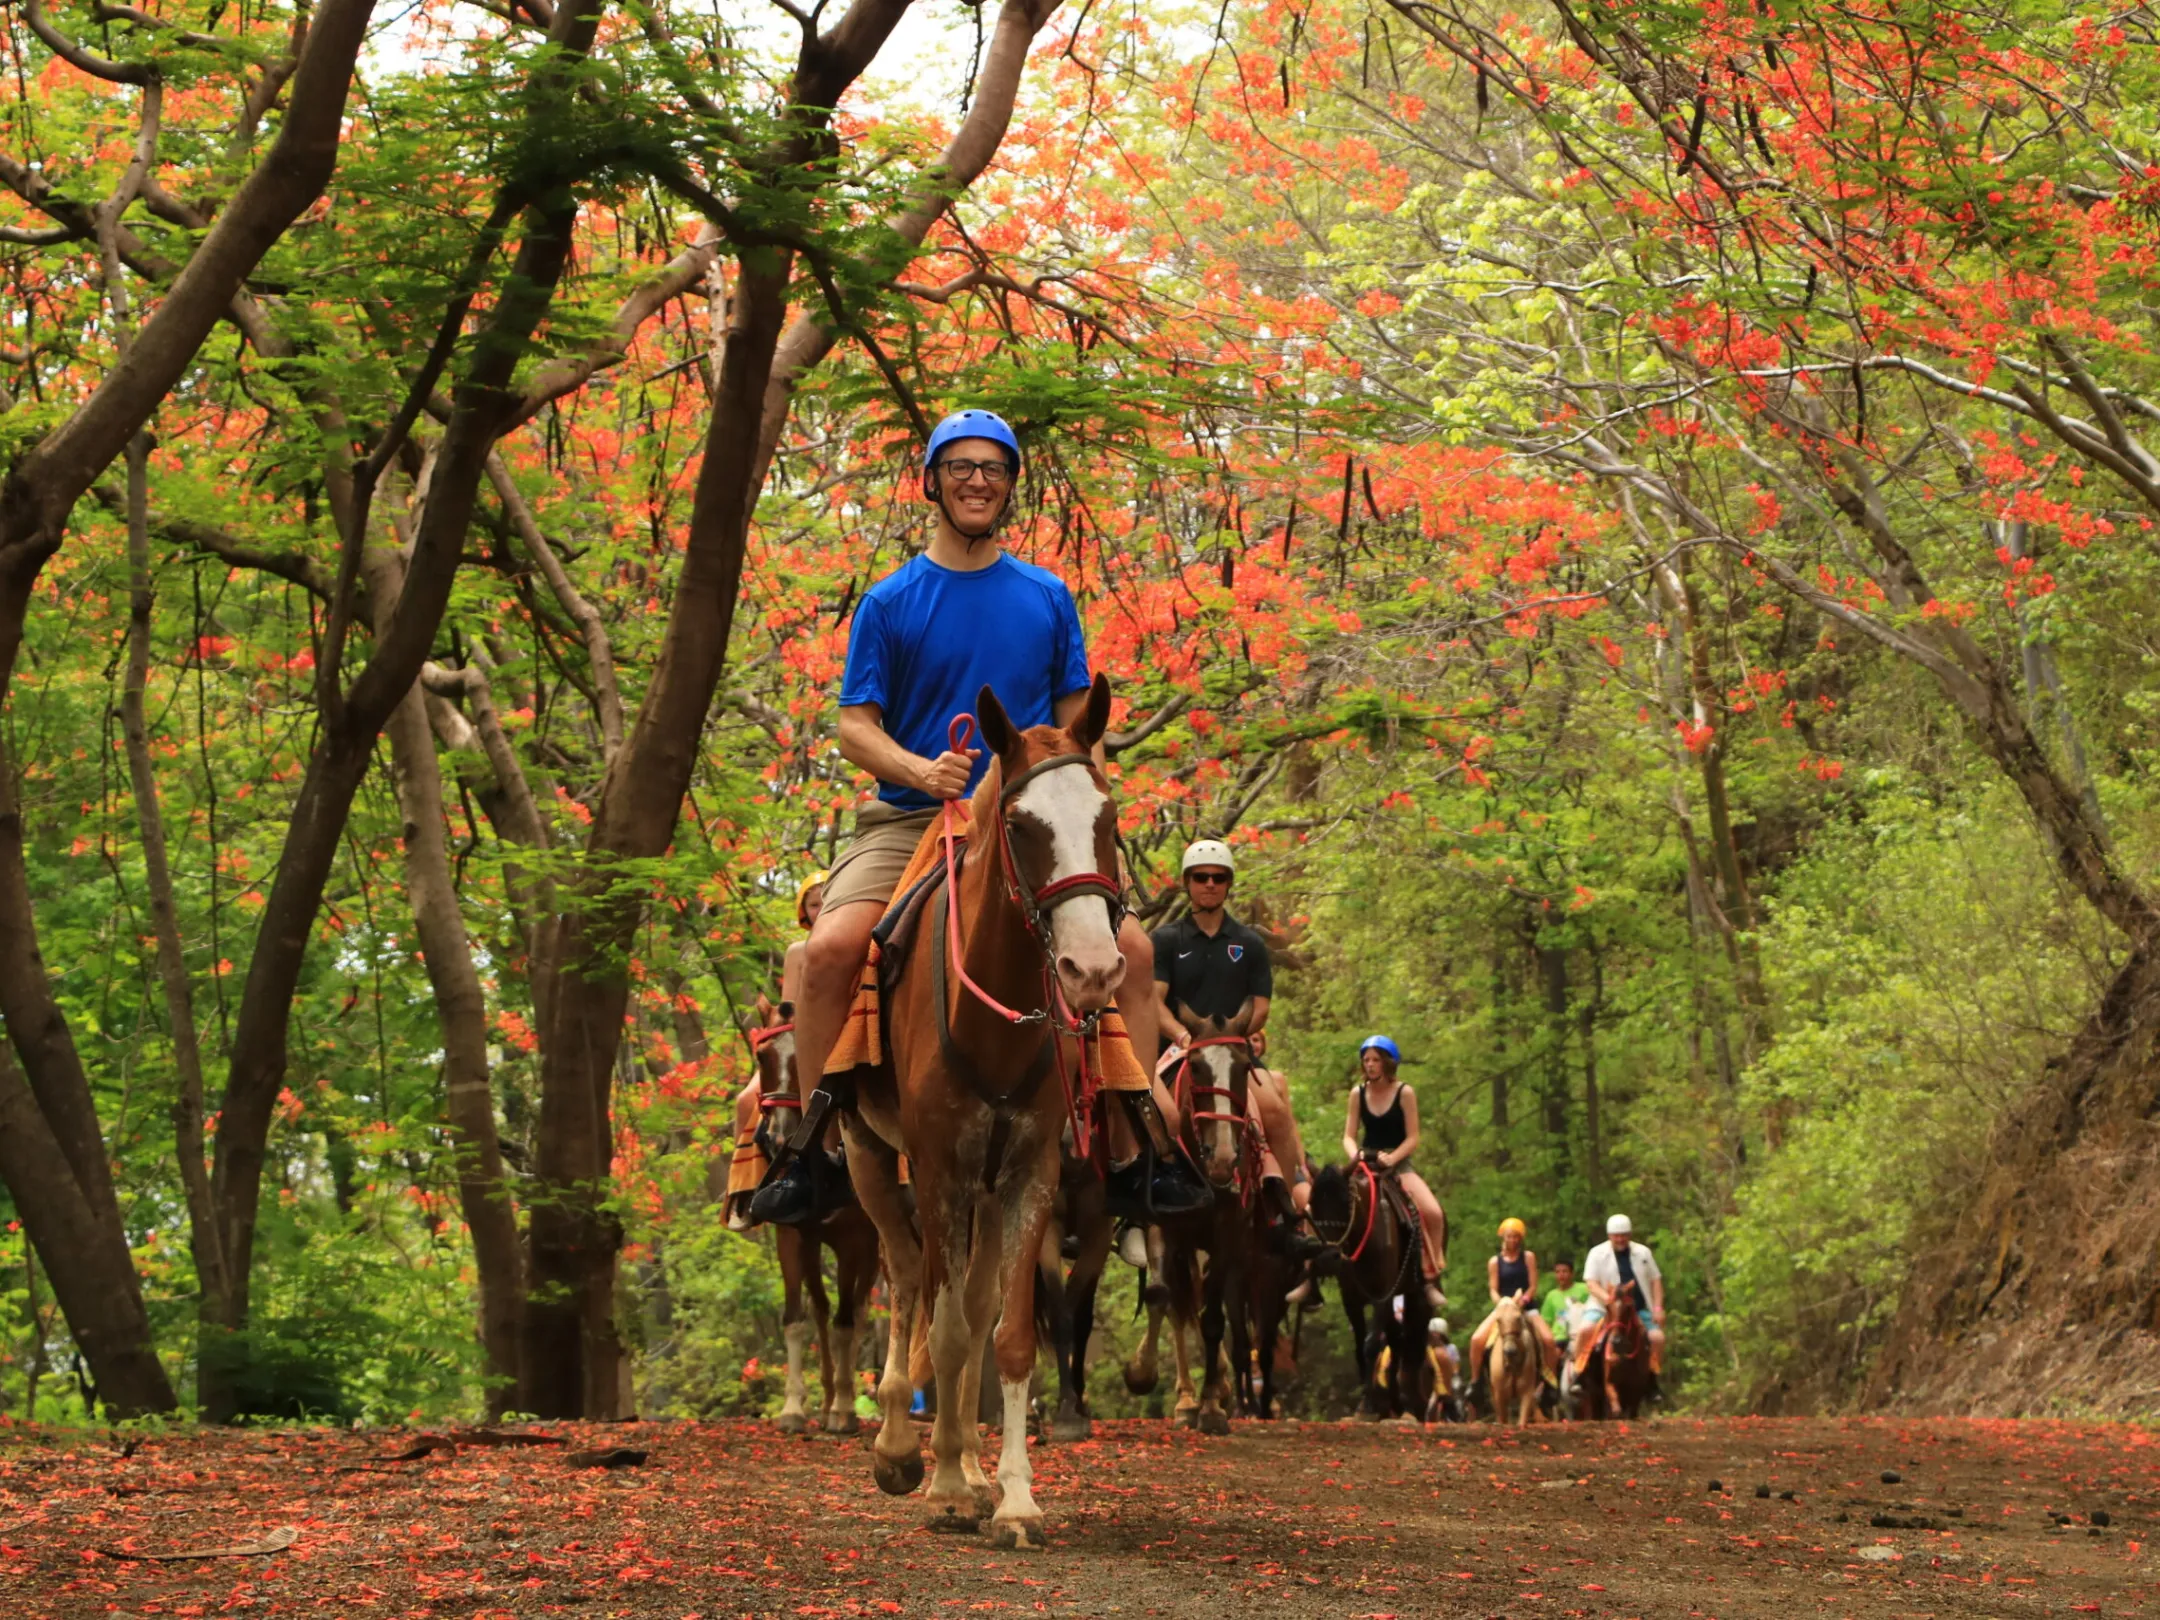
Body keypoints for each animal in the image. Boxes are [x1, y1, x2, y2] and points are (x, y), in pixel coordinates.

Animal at [745, 997, 882, 1436]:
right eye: (762, 1055)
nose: (779, 1137)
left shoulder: (855, 1241)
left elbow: (844, 1323)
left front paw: (844, 1411)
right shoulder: (793, 1236)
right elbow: (796, 1319)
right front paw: (793, 1408)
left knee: (858, 1312)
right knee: (822, 1308)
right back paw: (825, 1400)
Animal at [839, 676, 1127, 1549]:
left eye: (1107, 819)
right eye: (1024, 825)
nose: (1091, 969)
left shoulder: (1030, 1170)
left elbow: (1005, 1335)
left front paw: (1012, 1498)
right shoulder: (938, 1169)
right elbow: (943, 1328)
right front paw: (935, 1485)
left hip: (989, 1190)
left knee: (970, 1305)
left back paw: (965, 1465)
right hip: (870, 1158)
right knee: (907, 1280)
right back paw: (903, 1450)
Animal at [1307, 1160, 1439, 1421]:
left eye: (1345, 1202)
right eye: (1313, 1201)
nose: (1327, 1258)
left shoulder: (1382, 1296)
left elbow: (1371, 1346)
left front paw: (1369, 1405)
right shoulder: (1352, 1300)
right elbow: (1360, 1347)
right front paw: (1366, 1405)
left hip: (1416, 1294)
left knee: (1413, 1343)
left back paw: (1411, 1407)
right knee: (1398, 1338)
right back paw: (1397, 1404)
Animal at [1484, 1295, 1540, 1426]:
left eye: (1518, 1318)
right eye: (1498, 1320)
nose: (1510, 1350)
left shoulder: (1527, 1392)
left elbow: (1522, 1421)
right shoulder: (1500, 1394)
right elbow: (1503, 1419)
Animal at [1580, 1283, 1653, 1421]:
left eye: (1628, 1307)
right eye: (1607, 1307)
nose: (1616, 1341)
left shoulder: (1637, 1388)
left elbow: (1632, 1411)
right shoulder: (1610, 1384)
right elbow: (1615, 1409)